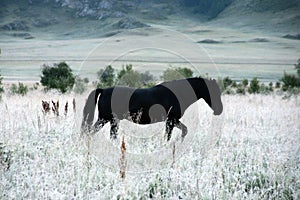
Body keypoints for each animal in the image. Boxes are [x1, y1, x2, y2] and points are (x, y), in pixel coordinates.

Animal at [82, 76, 223, 141]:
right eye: (214, 92)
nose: (219, 110)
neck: (178, 93)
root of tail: (103, 90)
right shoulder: (171, 121)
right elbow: (169, 136)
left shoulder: (172, 121)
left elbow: (184, 130)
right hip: (105, 119)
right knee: (90, 132)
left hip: (112, 121)